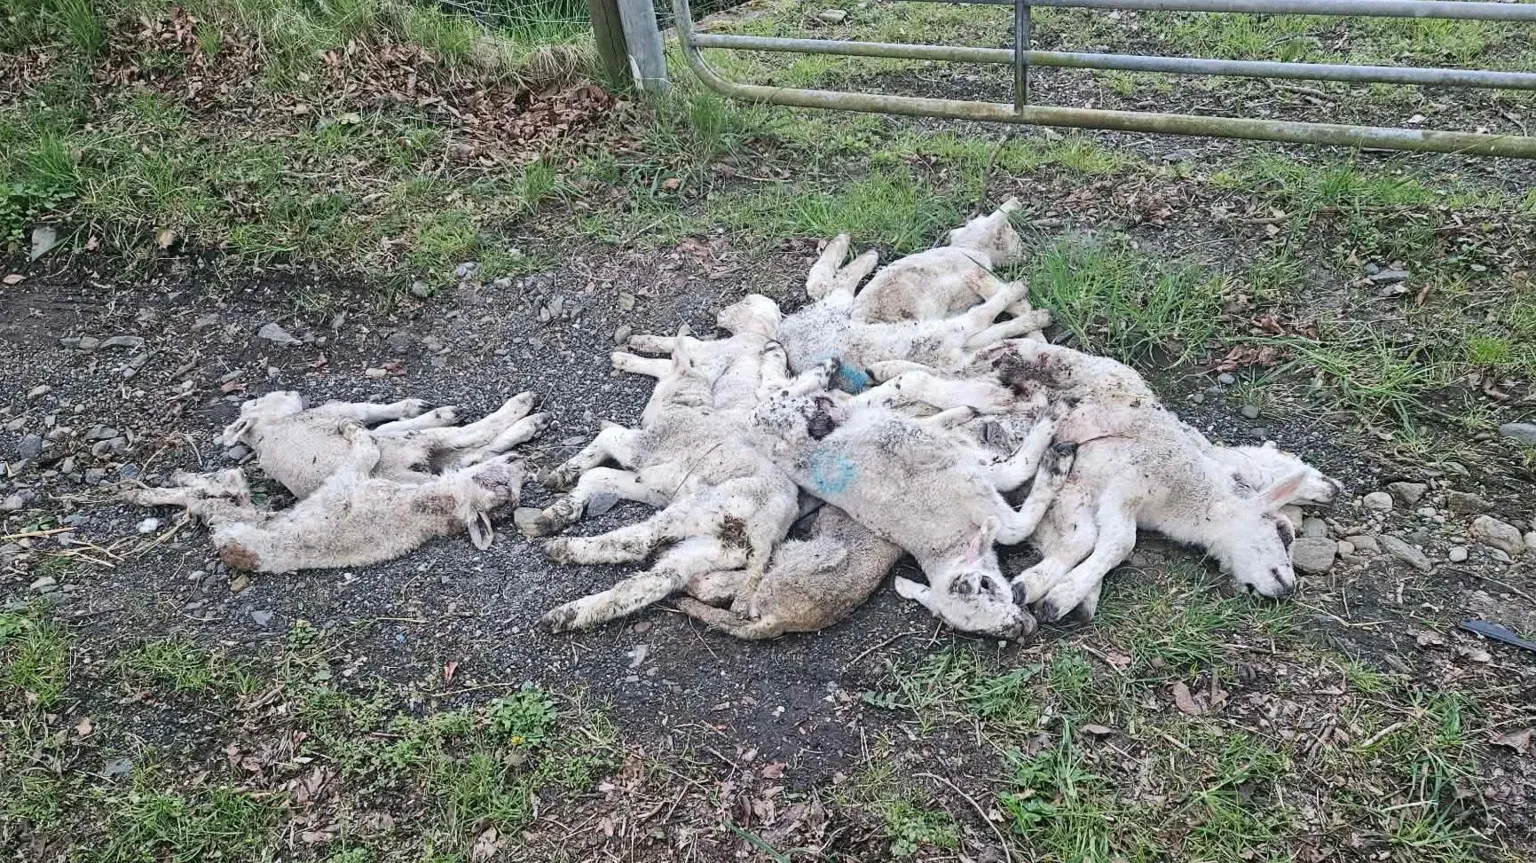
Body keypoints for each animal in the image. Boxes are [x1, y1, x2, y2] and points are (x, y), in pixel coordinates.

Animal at [123, 421, 527, 572]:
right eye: (504, 487)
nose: (522, 464)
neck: (432, 507)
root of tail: (228, 544)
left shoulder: (350, 482)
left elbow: (365, 449)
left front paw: (352, 428)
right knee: (212, 491)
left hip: (233, 515)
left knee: (211, 496)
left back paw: (143, 492)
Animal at [221, 391, 548, 499]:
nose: (292, 392)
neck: (268, 429)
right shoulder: (339, 411)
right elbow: (371, 412)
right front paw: (436, 412)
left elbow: (387, 423)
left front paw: (423, 409)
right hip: (414, 446)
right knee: (474, 435)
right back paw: (524, 413)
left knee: (473, 455)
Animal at [745, 364, 1075, 639]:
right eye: (984, 630)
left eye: (985, 584)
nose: (1023, 628)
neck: (943, 541)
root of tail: (759, 429)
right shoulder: (972, 480)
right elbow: (1014, 509)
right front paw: (1055, 460)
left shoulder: (968, 481)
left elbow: (1014, 493)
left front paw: (1050, 438)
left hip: (815, 413)